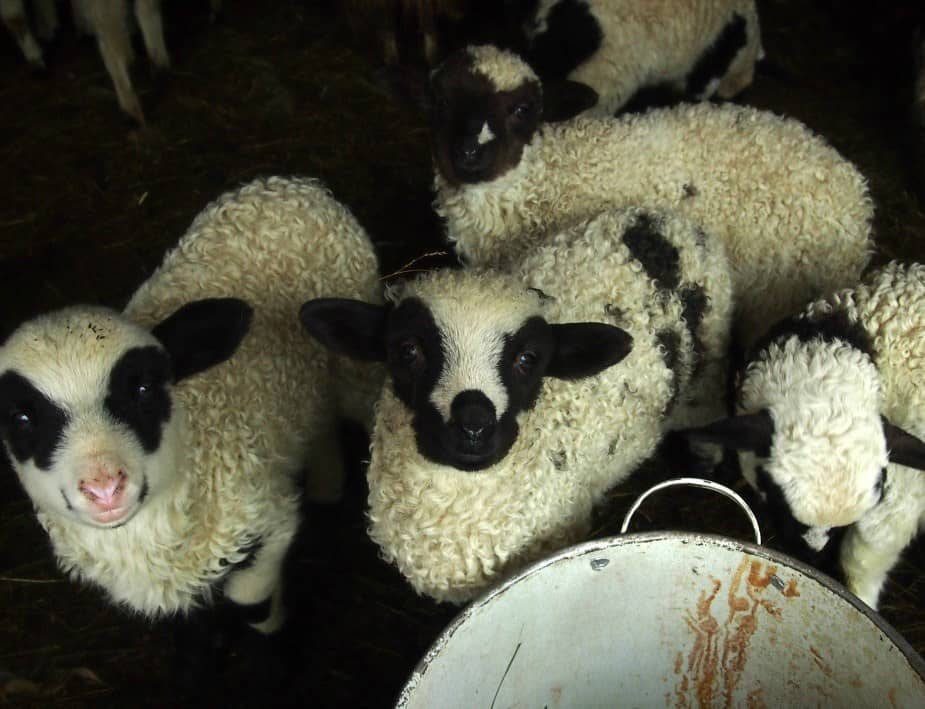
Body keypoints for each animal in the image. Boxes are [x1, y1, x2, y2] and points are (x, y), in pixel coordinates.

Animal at [0, 176, 383, 633]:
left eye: (143, 390)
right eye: (21, 418)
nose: (104, 488)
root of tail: (289, 186)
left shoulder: (265, 518)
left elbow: (249, 602)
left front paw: (276, 627)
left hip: (352, 360)